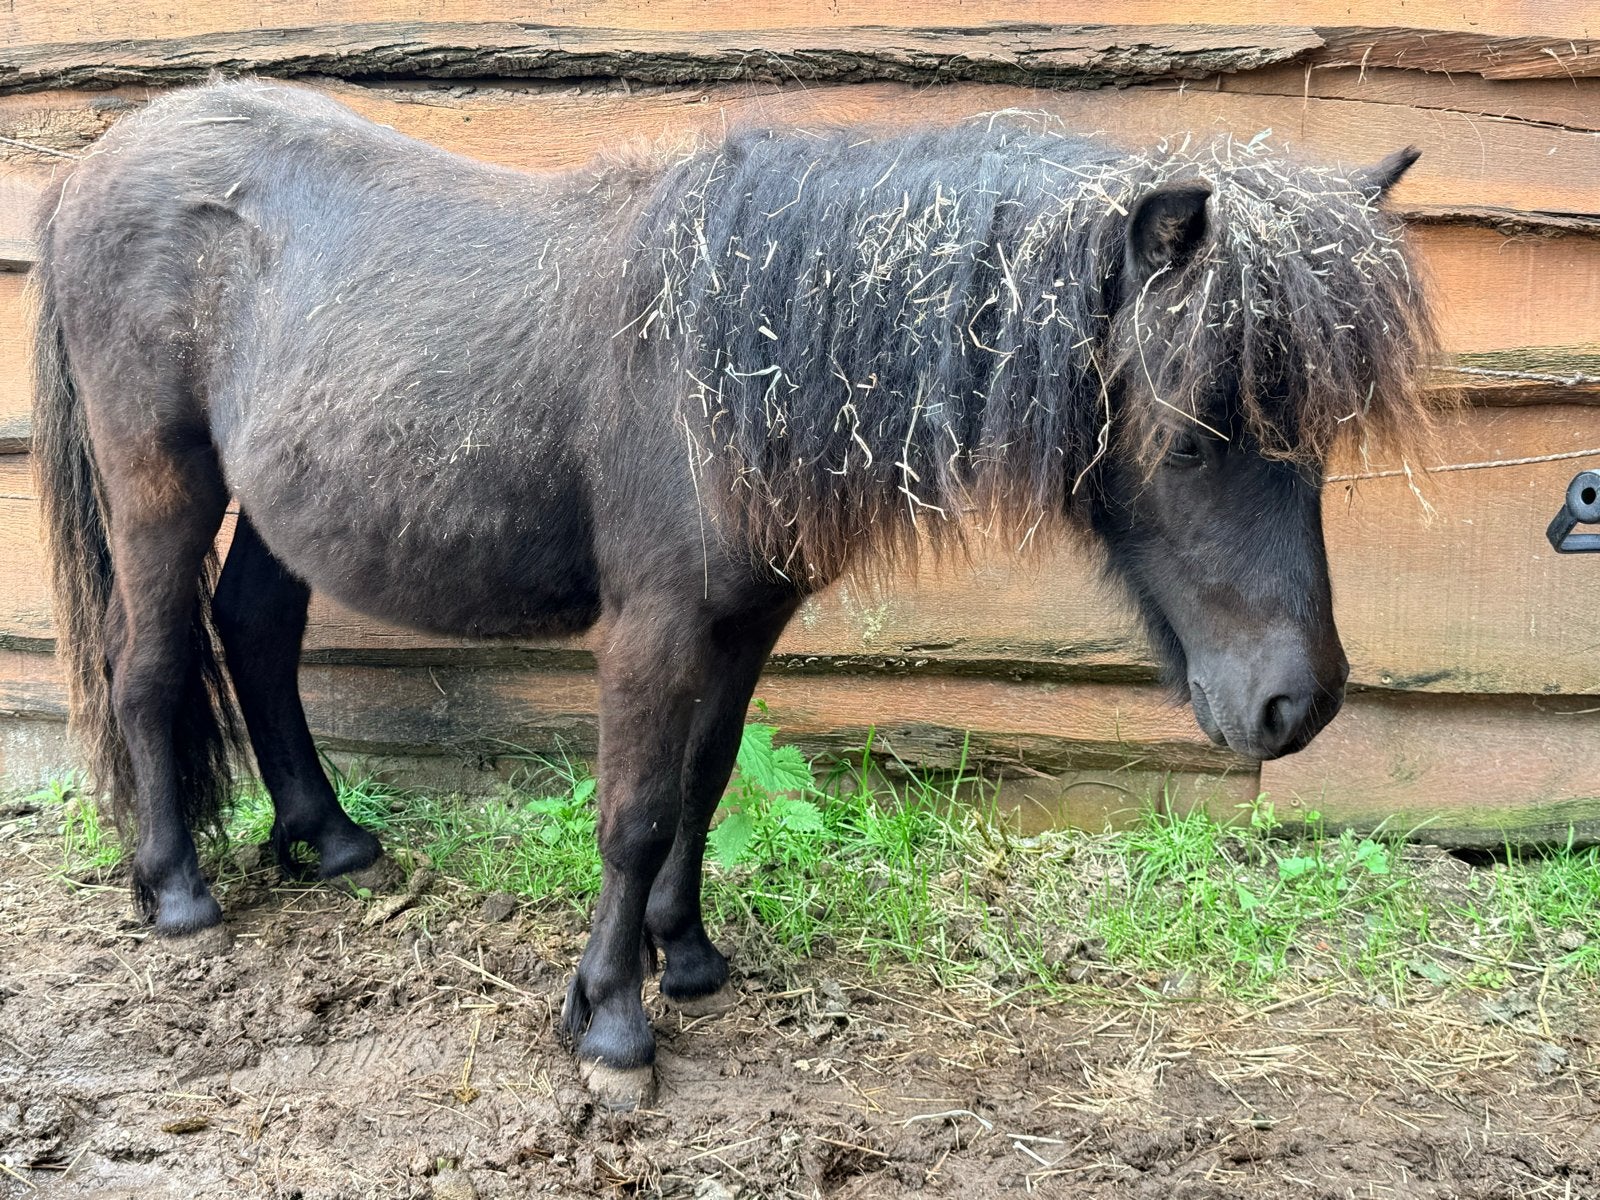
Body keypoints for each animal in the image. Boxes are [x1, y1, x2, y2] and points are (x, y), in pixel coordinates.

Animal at [31, 79, 1435, 1108]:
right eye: (1193, 434)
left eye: (1316, 440)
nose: (1297, 705)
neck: (731, 359)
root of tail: (99, 164)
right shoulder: (653, 628)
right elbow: (635, 811)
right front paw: (610, 1025)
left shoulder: (747, 621)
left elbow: (704, 785)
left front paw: (690, 956)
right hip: (161, 482)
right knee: (149, 663)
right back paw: (176, 894)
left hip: (291, 501)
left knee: (256, 632)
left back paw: (327, 839)